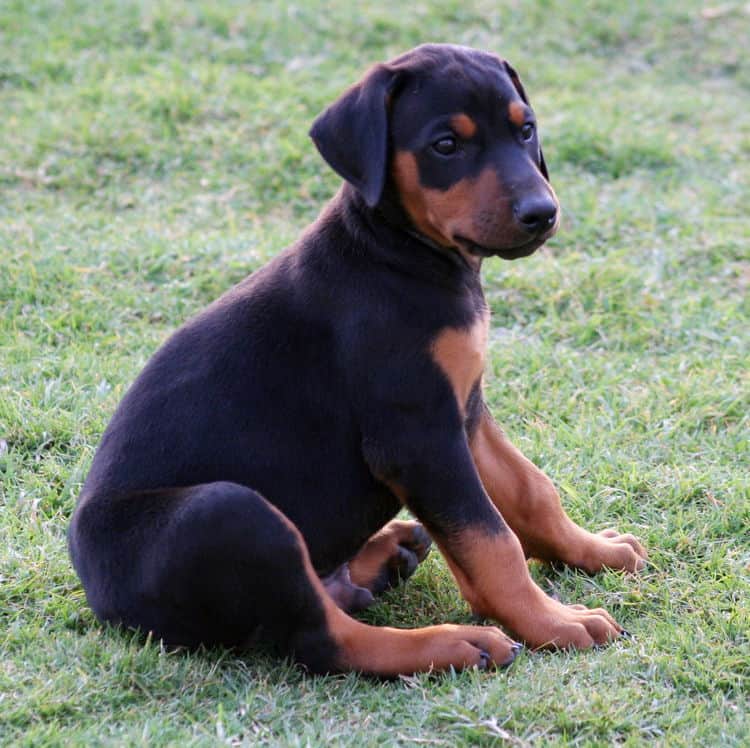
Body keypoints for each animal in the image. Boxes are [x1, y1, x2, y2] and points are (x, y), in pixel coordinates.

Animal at [67, 46, 648, 676]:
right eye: (446, 145)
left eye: (526, 129)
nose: (542, 212)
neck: (399, 254)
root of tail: (103, 603)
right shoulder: (416, 435)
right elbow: (491, 539)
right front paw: (551, 622)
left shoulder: (464, 412)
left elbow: (530, 491)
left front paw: (593, 551)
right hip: (229, 511)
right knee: (321, 639)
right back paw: (453, 642)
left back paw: (386, 556)